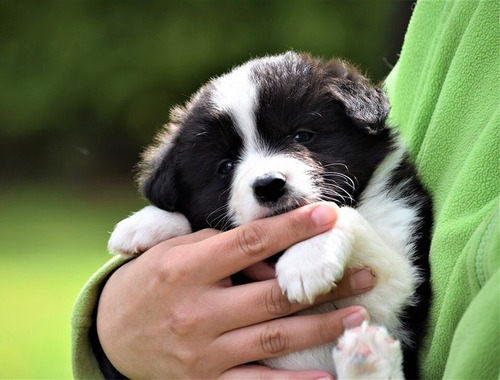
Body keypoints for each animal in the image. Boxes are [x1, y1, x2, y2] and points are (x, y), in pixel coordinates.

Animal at [109, 52, 434, 378]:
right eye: (226, 166)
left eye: (302, 135)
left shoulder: (397, 286)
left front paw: (307, 260)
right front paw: (144, 222)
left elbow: (340, 213)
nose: (268, 185)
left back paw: (367, 354)